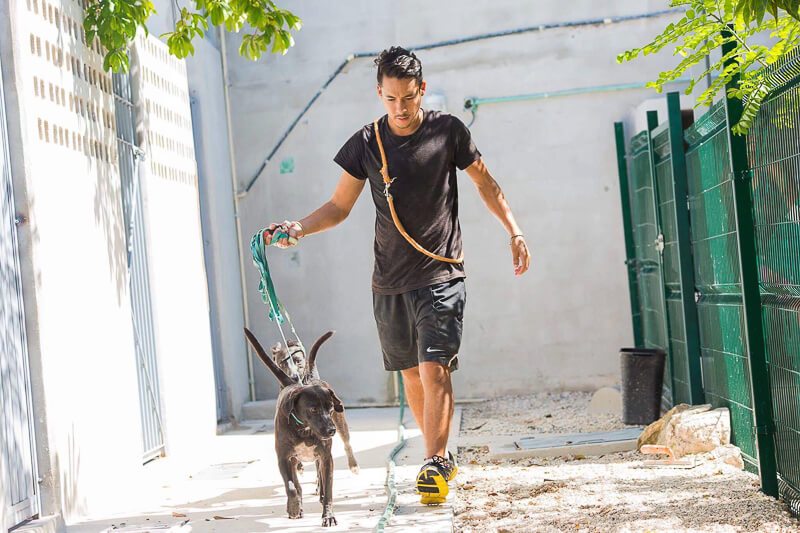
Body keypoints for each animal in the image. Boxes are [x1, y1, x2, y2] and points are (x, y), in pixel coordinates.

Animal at [244, 326, 344, 524]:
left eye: (330, 408)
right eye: (313, 409)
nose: (331, 430)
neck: (304, 430)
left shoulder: (326, 458)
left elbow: (328, 489)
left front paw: (328, 515)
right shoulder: (284, 458)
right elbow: (291, 487)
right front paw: (294, 507)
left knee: (320, 480)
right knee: (296, 484)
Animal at [272, 332, 360, 474]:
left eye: (298, 361)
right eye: (282, 363)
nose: (294, 377)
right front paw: (299, 466)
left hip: (340, 424)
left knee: (347, 443)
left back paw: (353, 465)